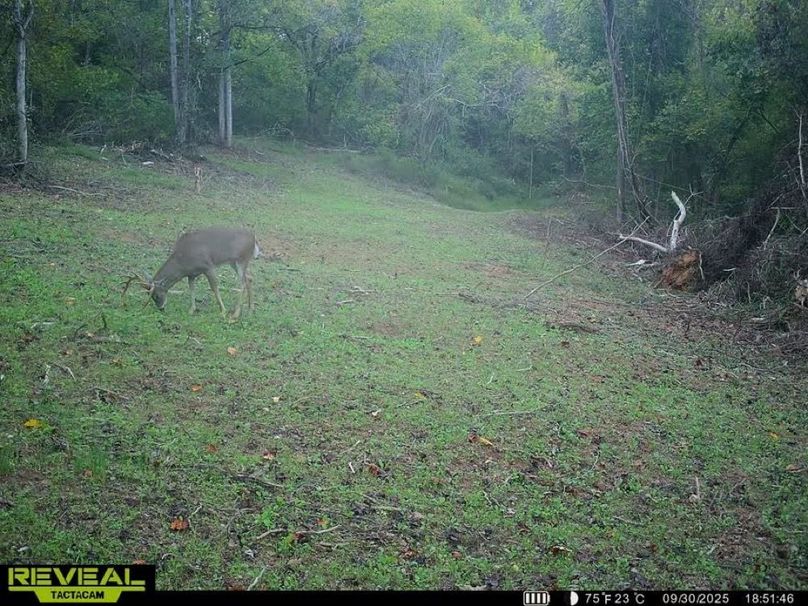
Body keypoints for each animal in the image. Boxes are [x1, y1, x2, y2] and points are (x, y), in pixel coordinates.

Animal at [123, 227, 261, 320]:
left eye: (156, 295)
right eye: (150, 295)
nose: (161, 308)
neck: (182, 262)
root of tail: (254, 240)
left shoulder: (207, 266)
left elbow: (214, 287)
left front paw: (223, 311)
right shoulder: (192, 274)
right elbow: (191, 288)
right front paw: (192, 310)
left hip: (242, 259)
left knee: (242, 283)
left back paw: (236, 314)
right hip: (234, 262)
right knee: (249, 278)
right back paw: (251, 309)